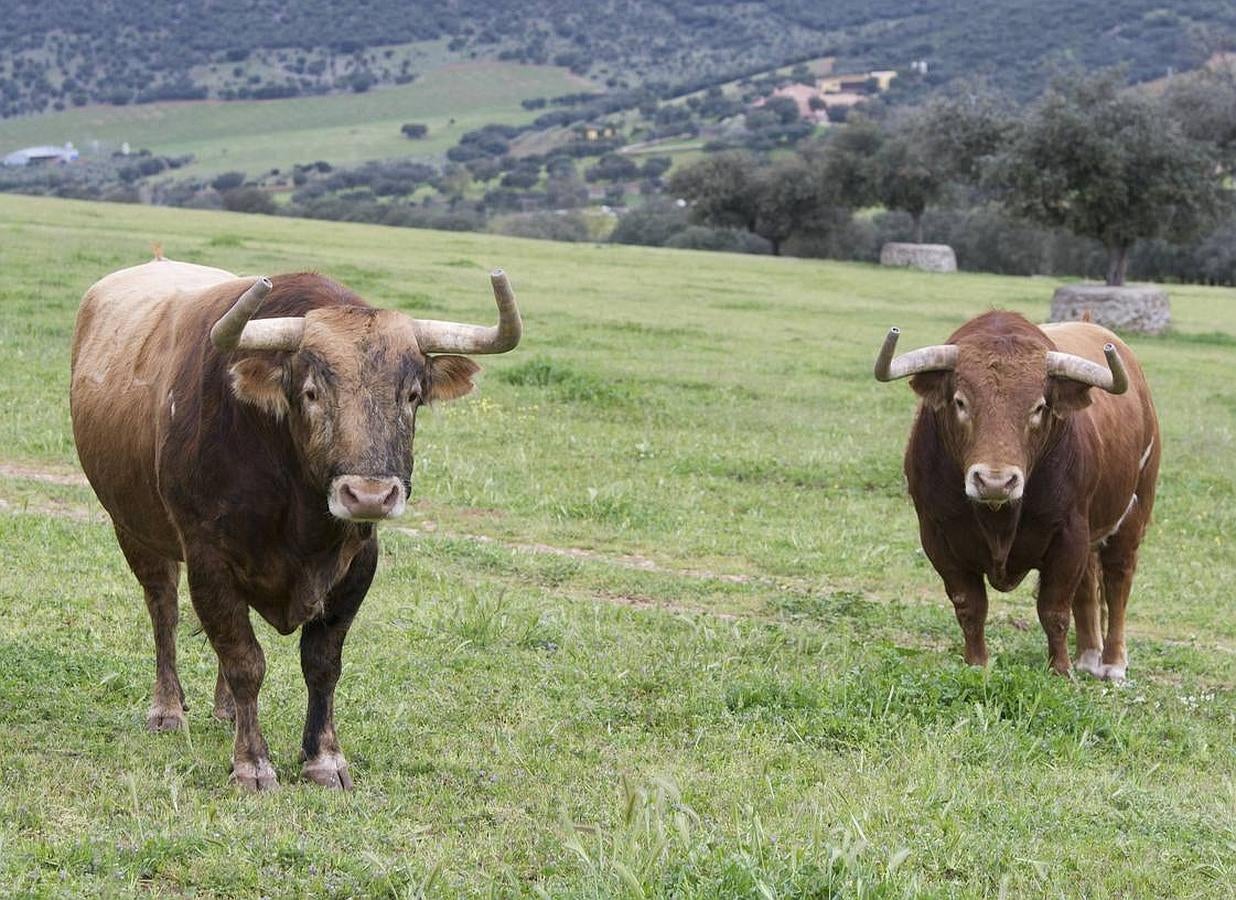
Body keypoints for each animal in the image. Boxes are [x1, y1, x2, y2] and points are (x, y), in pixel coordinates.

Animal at [68, 254, 521, 786]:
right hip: (134, 530)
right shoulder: (207, 559)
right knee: (164, 611)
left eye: (412, 395)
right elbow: (245, 660)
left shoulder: (358, 564)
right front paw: (251, 763)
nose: (370, 495)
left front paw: (324, 758)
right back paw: (168, 708)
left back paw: (225, 710)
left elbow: (321, 663)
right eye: (310, 392)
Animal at [880, 312, 1156, 677]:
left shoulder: (1070, 534)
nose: (995, 481)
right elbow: (970, 606)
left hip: (1133, 513)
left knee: (1117, 581)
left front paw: (1060, 671)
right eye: (960, 402)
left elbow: (1054, 609)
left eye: (1038, 407)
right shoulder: (936, 535)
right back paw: (1088, 656)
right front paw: (977, 664)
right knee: (1088, 586)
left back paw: (1112, 663)